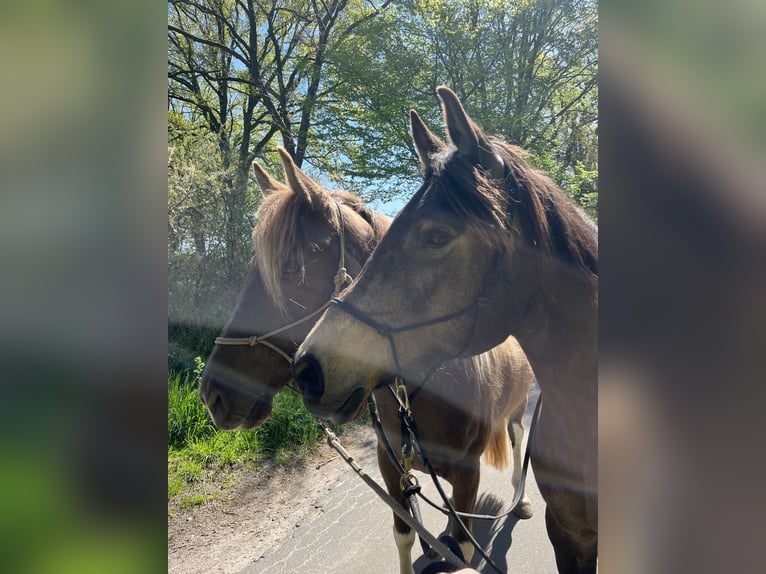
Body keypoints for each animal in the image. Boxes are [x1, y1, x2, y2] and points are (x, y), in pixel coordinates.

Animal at [198, 147, 535, 573]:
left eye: (291, 269)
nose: (213, 395)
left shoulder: (466, 475)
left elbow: (462, 547)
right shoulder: (391, 467)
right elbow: (406, 535)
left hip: (517, 409)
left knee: (518, 437)